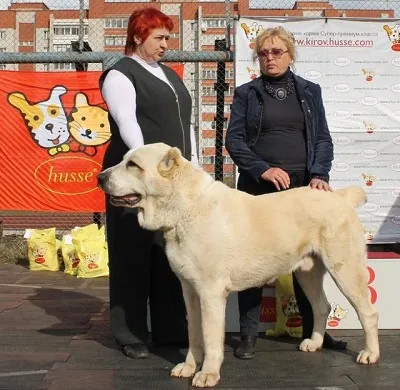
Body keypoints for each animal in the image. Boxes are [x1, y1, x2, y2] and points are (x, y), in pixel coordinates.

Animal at [98, 142, 380, 386]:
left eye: (133, 165)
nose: (100, 177)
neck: (185, 208)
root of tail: (341, 196)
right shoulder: (190, 290)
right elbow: (194, 333)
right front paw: (189, 367)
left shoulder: (211, 293)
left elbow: (210, 337)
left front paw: (207, 374)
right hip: (307, 273)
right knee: (322, 306)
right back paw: (314, 343)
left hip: (346, 270)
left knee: (367, 312)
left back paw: (370, 354)